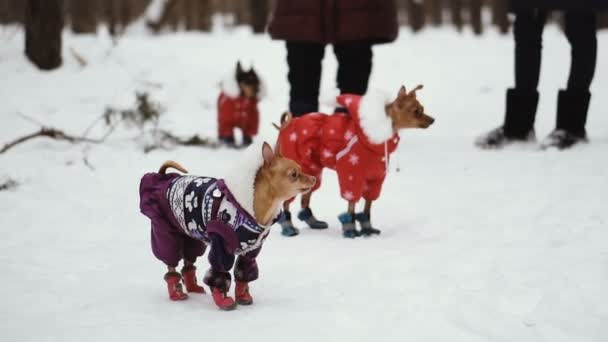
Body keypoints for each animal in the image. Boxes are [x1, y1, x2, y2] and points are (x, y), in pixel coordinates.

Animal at [140, 142, 316, 310]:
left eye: (301, 169)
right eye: (294, 174)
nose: (314, 178)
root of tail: (164, 179)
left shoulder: (250, 251)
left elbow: (243, 274)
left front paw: (243, 295)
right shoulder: (221, 247)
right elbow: (219, 274)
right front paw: (223, 300)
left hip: (190, 235)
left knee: (189, 262)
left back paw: (193, 287)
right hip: (167, 234)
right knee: (171, 265)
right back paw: (176, 293)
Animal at [274, 85, 434, 238]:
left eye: (422, 109)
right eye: (416, 111)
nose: (433, 120)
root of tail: (286, 124)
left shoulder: (375, 179)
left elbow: (367, 207)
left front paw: (367, 229)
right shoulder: (351, 174)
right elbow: (351, 205)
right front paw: (350, 230)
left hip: (312, 172)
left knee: (305, 199)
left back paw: (313, 222)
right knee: (286, 202)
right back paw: (288, 228)